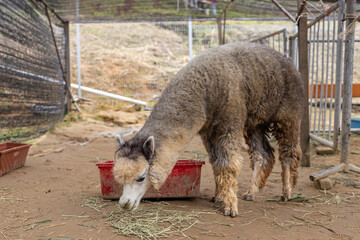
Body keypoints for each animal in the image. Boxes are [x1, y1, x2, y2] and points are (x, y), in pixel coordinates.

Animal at [112, 41, 304, 218]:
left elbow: (229, 164)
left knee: (289, 152)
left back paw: (286, 193)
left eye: (141, 177)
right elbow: (217, 162)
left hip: (288, 114)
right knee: (263, 155)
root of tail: (289, 62)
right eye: (119, 179)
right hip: (254, 122)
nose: (124, 203)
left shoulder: (229, 123)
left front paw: (230, 207)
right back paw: (251, 192)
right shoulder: (208, 131)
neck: (203, 92)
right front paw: (219, 197)